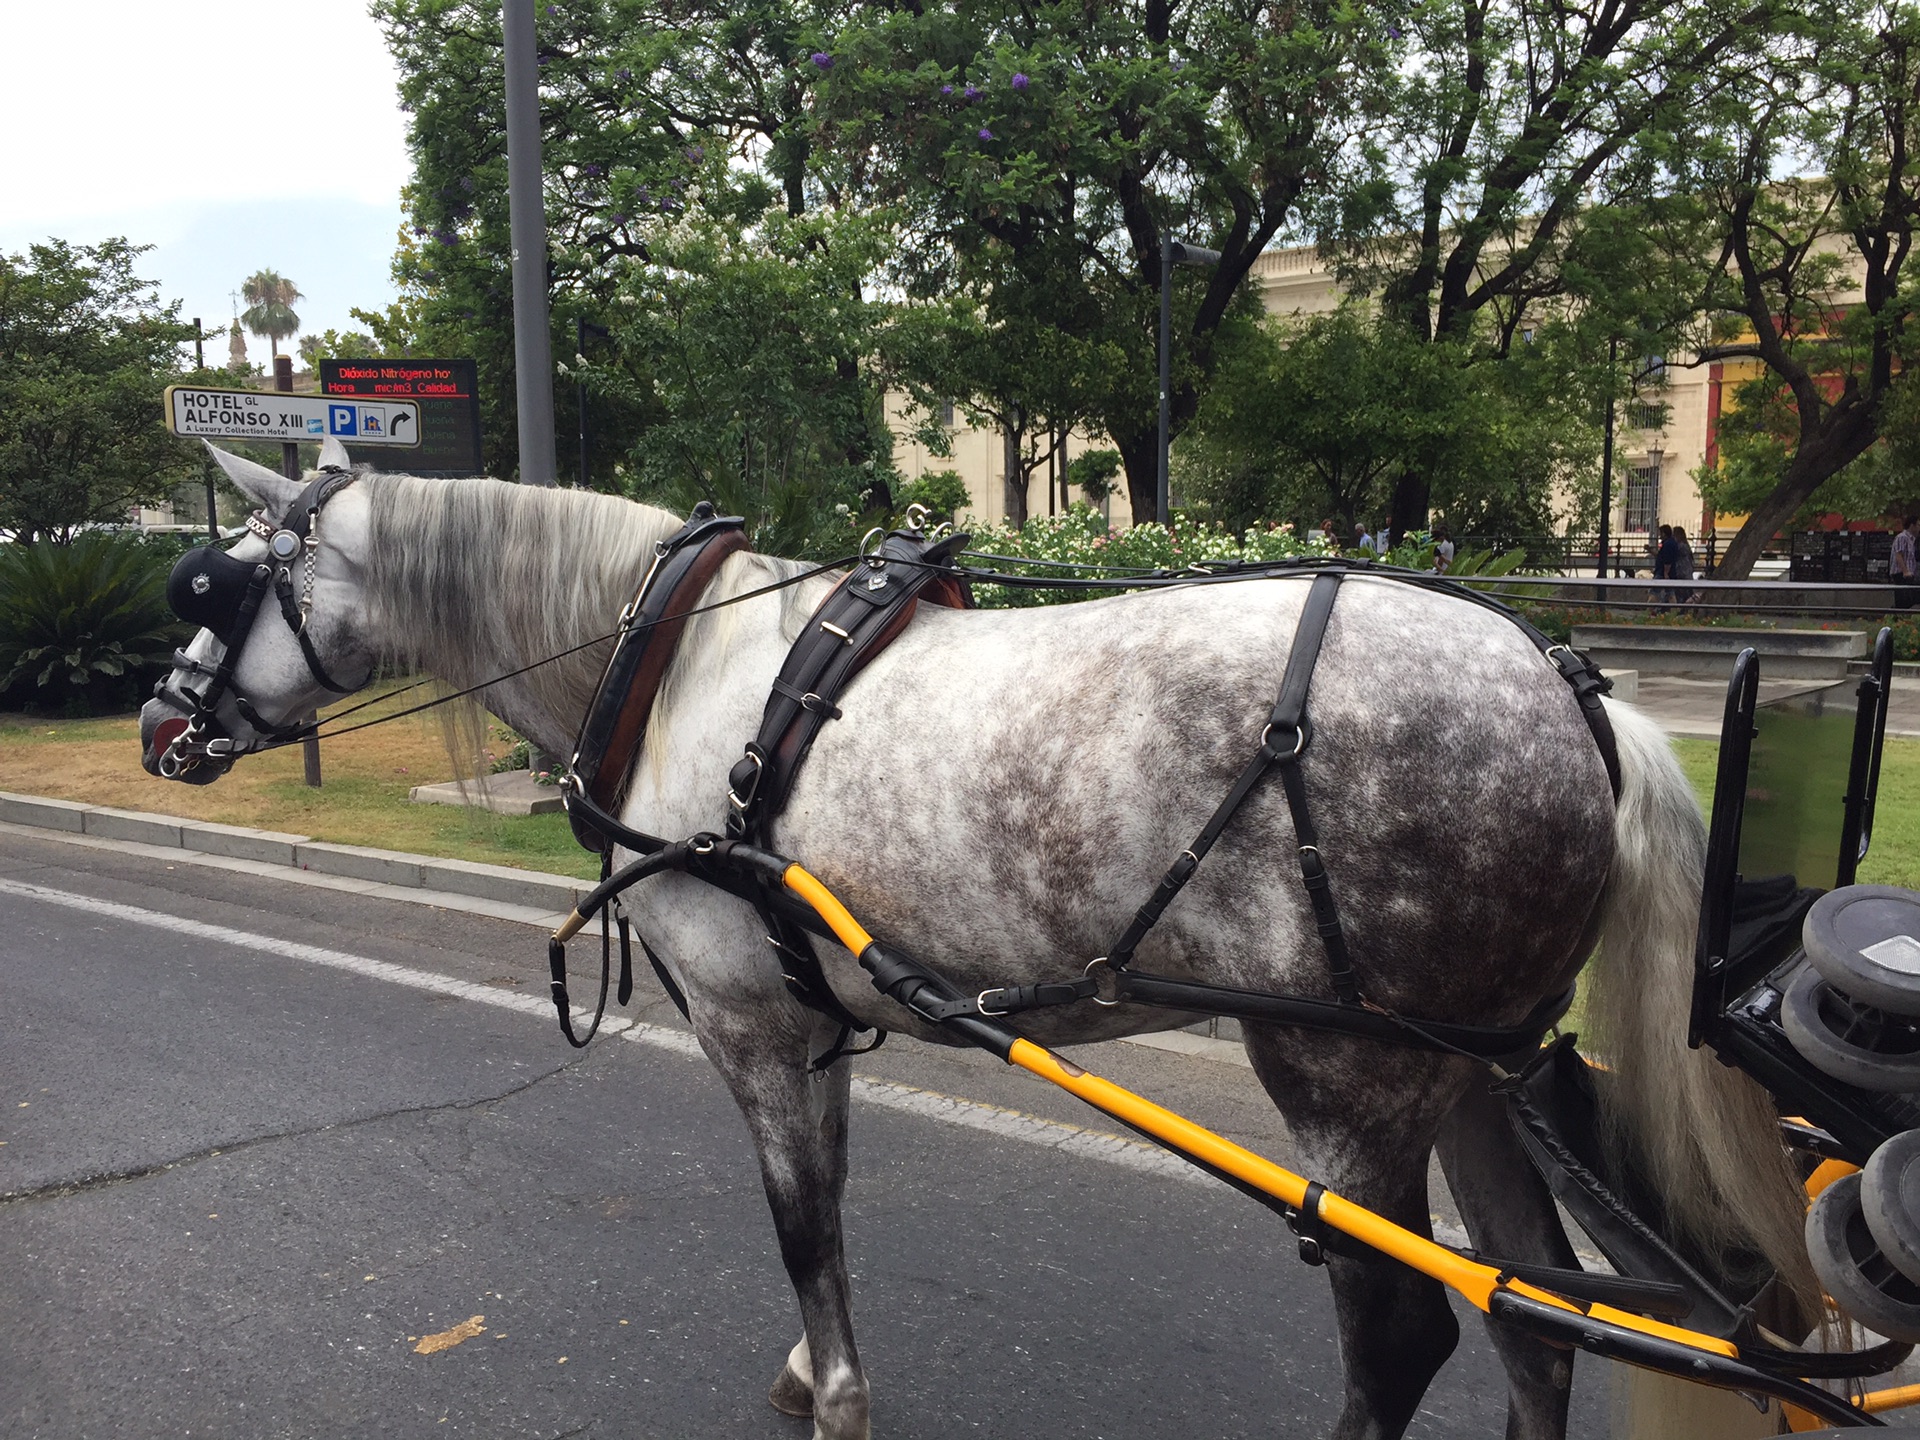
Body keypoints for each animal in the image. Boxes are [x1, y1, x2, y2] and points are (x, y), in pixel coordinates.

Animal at [139, 445, 1812, 1436]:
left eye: (215, 579)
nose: (161, 723)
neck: (676, 668)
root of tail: (1575, 693)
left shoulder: (751, 1021)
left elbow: (798, 1224)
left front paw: (835, 1398)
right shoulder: (812, 1014)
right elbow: (827, 1213)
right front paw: (817, 1369)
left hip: (1344, 1075)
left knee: (1402, 1333)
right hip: (1471, 1067)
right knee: (1541, 1321)